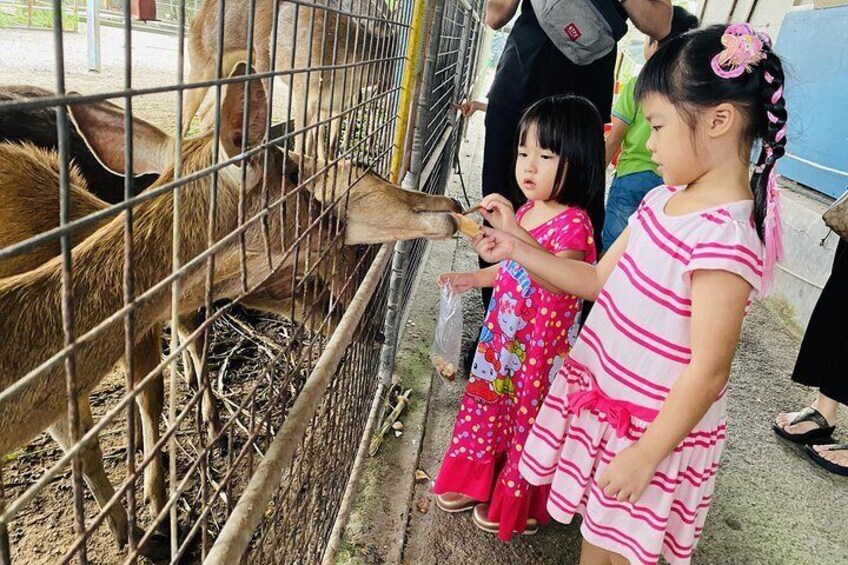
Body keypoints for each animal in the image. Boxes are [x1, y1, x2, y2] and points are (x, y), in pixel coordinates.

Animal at [184, 0, 396, 159]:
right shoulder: (304, 95)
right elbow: (302, 142)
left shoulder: (333, 106)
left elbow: (325, 142)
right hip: (205, 68)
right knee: (186, 119)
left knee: (207, 116)